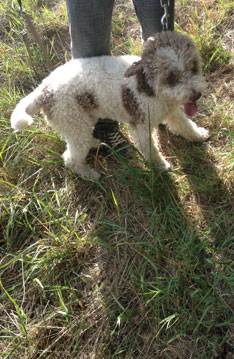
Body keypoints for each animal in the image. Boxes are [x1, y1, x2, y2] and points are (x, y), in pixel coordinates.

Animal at [11, 31, 209, 180]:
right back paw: (90, 175)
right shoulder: (142, 126)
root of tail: (44, 90)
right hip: (73, 122)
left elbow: (184, 125)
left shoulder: (172, 111)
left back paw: (94, 143)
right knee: (71, 159)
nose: (196, 95)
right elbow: (150, 149)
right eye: (171, 77)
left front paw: (198, 135)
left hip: (82, 120)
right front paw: (160, 166)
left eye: (193, 67)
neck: (148, 86)